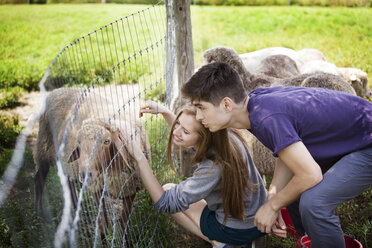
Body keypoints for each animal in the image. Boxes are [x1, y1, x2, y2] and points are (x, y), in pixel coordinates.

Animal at [34, 87, 150, 234]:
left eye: (107, 141)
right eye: (78, 143)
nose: (85, 174)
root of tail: (55, 91)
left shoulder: (130, 189)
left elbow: (124, 222)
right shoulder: (96, 187)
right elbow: (102, 220)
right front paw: (105, 232)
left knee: (68, 182)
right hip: (44, 148)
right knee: (38, 179)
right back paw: (39, 215)